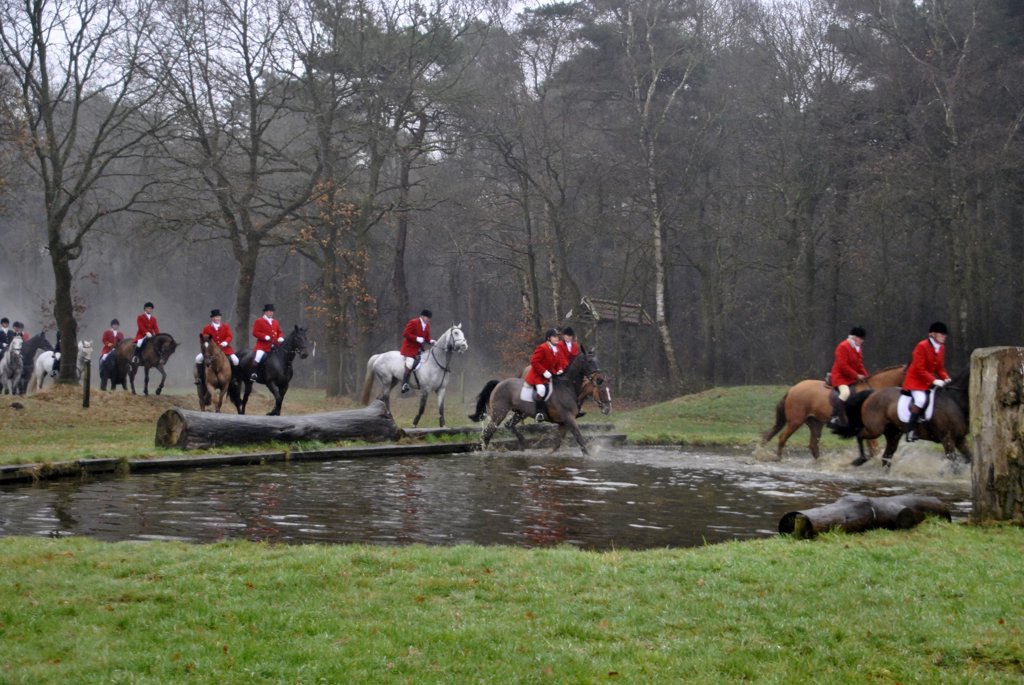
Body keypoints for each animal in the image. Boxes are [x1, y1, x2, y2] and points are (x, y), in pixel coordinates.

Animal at [471, 352, 606, 454]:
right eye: (589, 362)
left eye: (598, 361)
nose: (600, 379)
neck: (567, 387)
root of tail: (499, 383)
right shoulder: (569, 418)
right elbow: (579, 438)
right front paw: (589, 456)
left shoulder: (564, 422)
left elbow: (558, 443)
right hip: (499, 413)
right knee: (488, 433)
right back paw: (485, 452)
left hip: (520, 413)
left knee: (508, 425)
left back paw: (523, 443)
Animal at [761, 362, 905, 458]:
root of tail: (793, 388)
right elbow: (875, 449)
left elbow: (873, 449)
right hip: (795, 421)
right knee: (782, 438)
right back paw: (779, 459)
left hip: (815, 423)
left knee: (813, 445)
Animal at [827, 368, 970, 471]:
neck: (954, 400)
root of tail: (872, 394)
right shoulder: (947, 439)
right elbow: (955, 465)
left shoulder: (960, 439)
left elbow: (969, 459)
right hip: (874, 430)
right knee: (859, 435)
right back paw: (860, 459)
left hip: (893, 434)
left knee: (886, 457)